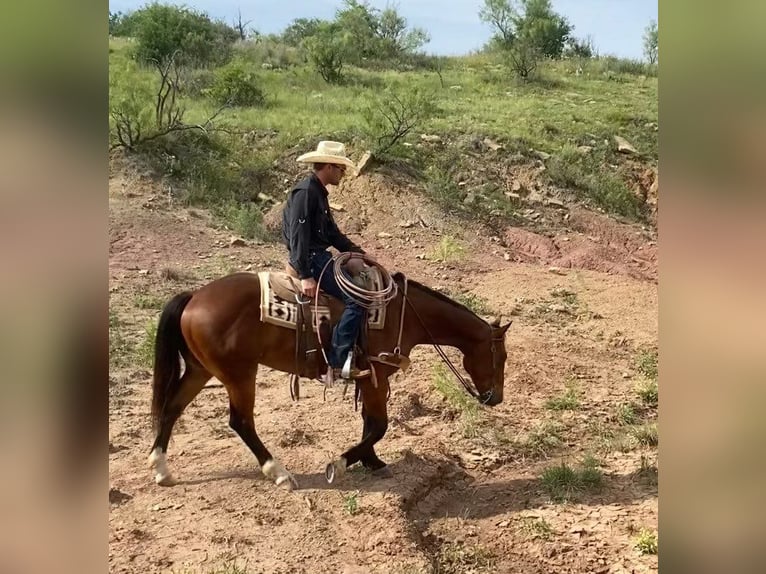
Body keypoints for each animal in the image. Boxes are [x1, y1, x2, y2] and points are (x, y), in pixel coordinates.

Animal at [149, 270, 510, 490]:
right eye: (502, 357)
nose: (495, 398)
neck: (404, 315)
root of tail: (194, 297)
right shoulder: (377, 375)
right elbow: (379, 425)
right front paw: (340, 462)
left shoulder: (368, 379)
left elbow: (369, 424)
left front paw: (372, 461)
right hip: (239, 374)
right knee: (241, 421)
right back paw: (279, 473)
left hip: (201, 369)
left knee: (172, 408)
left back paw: (161, 468)